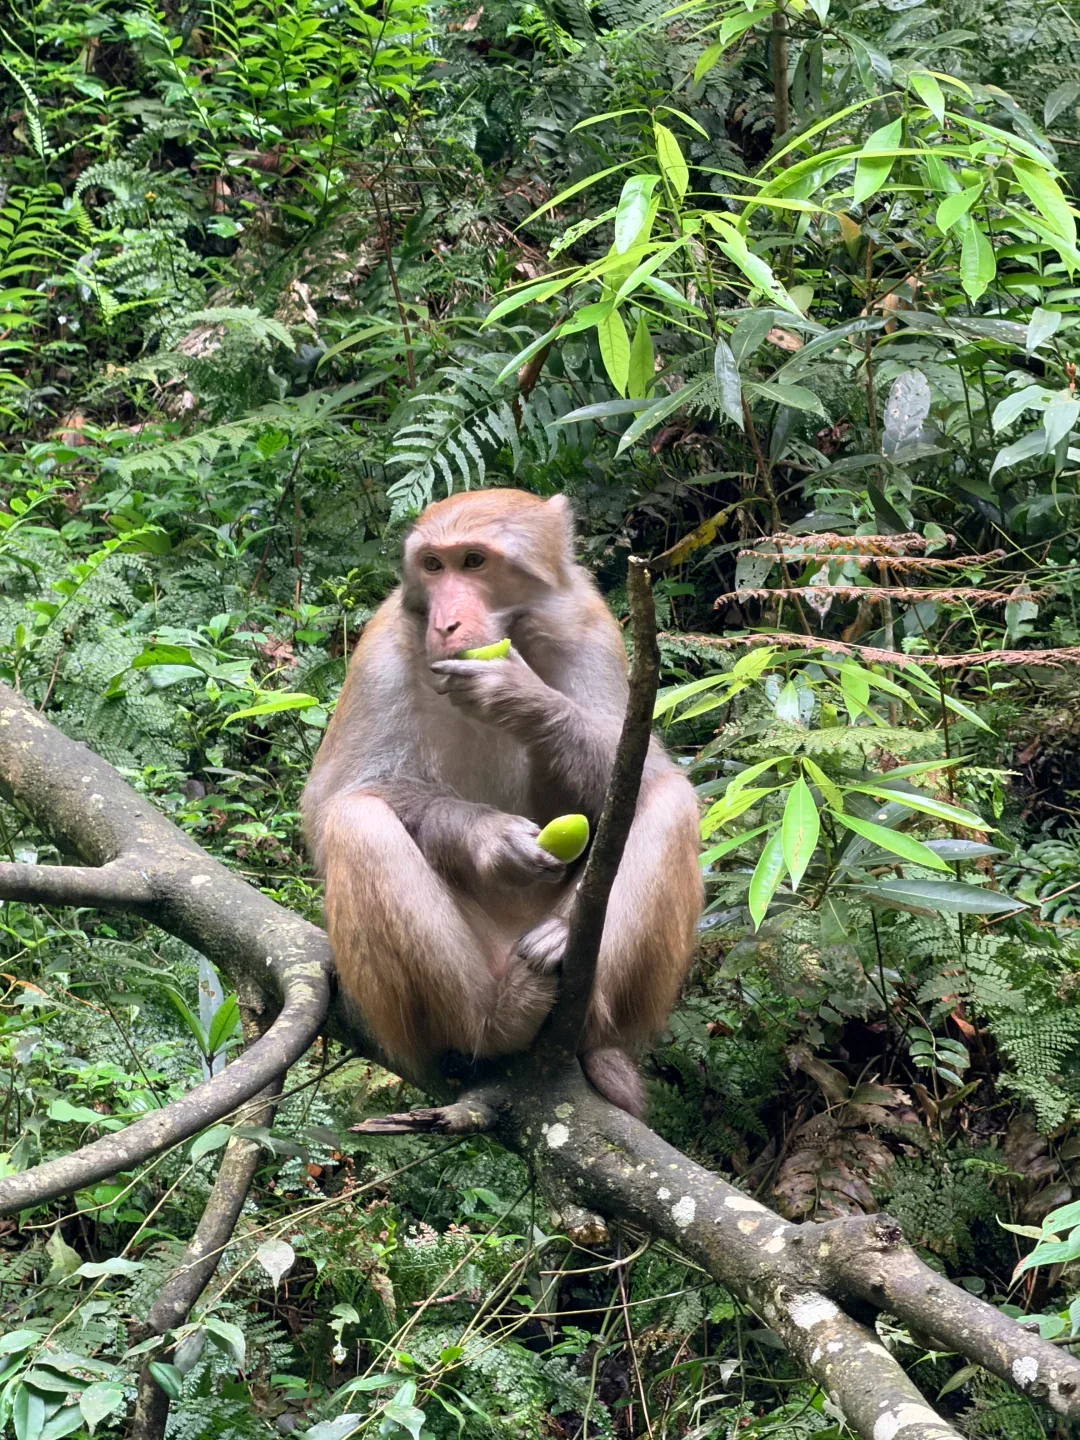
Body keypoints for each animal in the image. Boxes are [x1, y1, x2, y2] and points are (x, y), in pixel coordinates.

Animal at [300, 488, 703, 1117]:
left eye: (474, 562)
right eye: (432, 566)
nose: (446, 622)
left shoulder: (592, 627)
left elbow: (639, 780)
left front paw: (522, 699)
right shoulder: (380, 647)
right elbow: (335, 799)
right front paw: (489, 839)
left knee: (670, 800)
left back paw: (572, 976)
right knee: (355, 822)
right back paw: (496, 1024)